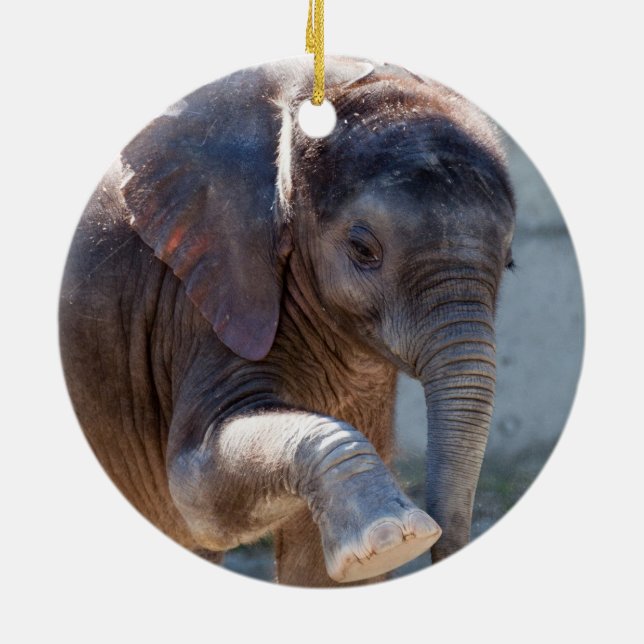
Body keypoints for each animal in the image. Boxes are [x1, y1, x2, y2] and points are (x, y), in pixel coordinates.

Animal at [59, 56, 515, 587]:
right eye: (363, 250)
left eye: (510, 262)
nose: (443, 548)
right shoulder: (203, 297)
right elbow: (196, 494)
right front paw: (393, 540)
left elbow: (316, 570)